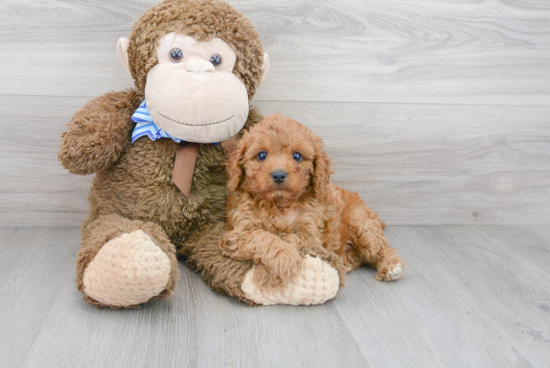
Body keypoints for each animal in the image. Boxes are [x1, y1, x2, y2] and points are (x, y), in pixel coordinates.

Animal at [220, 113, 406, 288]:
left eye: (297, 156)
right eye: (261, 155)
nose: (279, 174)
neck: (279, 204)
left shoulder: (309, 233)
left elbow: (288, 238)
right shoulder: (238, 231)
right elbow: (263, 236)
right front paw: (284, 259)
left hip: (361, 224)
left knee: (378, 249)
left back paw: (391, 266)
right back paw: (344, 260)